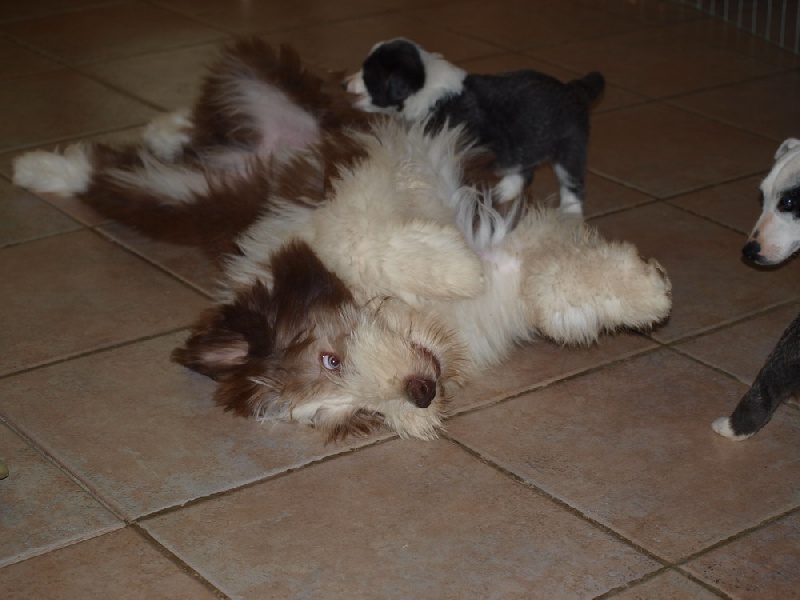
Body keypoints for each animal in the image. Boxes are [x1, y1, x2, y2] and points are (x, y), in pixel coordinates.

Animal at [344, 38, 605, 219]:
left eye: (368, 74)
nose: (344, 83)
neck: (426, 88)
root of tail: (573, 90)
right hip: (522, 147)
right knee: (523, 173)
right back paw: (501, 192)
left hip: (570, 149)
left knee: (572, 183)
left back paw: (570, 213)